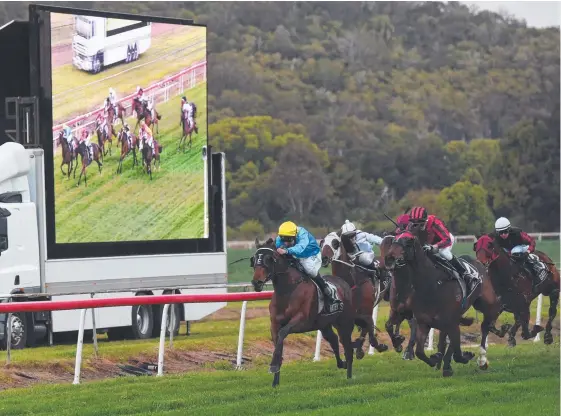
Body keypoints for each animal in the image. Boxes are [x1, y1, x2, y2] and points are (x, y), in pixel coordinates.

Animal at [253, 239, 356, 388]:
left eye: (269, 259)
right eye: (254, 259)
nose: (256, 282)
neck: (288, 290)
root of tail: (344, 283)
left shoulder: (301, 320)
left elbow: (283, 333)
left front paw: (273, 366)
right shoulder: (274, 324)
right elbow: (278, 344)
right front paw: (275, 380)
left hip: (345, 323)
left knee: (348, 347)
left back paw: (349, 376)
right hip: (324, 324)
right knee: (333, 339)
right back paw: (341, 364)